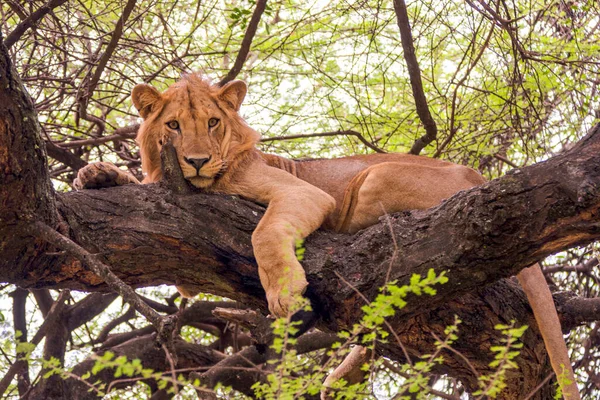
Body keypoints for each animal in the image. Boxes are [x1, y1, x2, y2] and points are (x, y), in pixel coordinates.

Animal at [72, 74, 580, 400]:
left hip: (372, 179)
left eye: (213, 123)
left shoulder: (302, 191)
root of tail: (481, 175)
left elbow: (264, 233)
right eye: (173, 126)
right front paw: (97, 173)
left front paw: (286, 296)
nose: (195, 161)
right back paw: (340, 380)